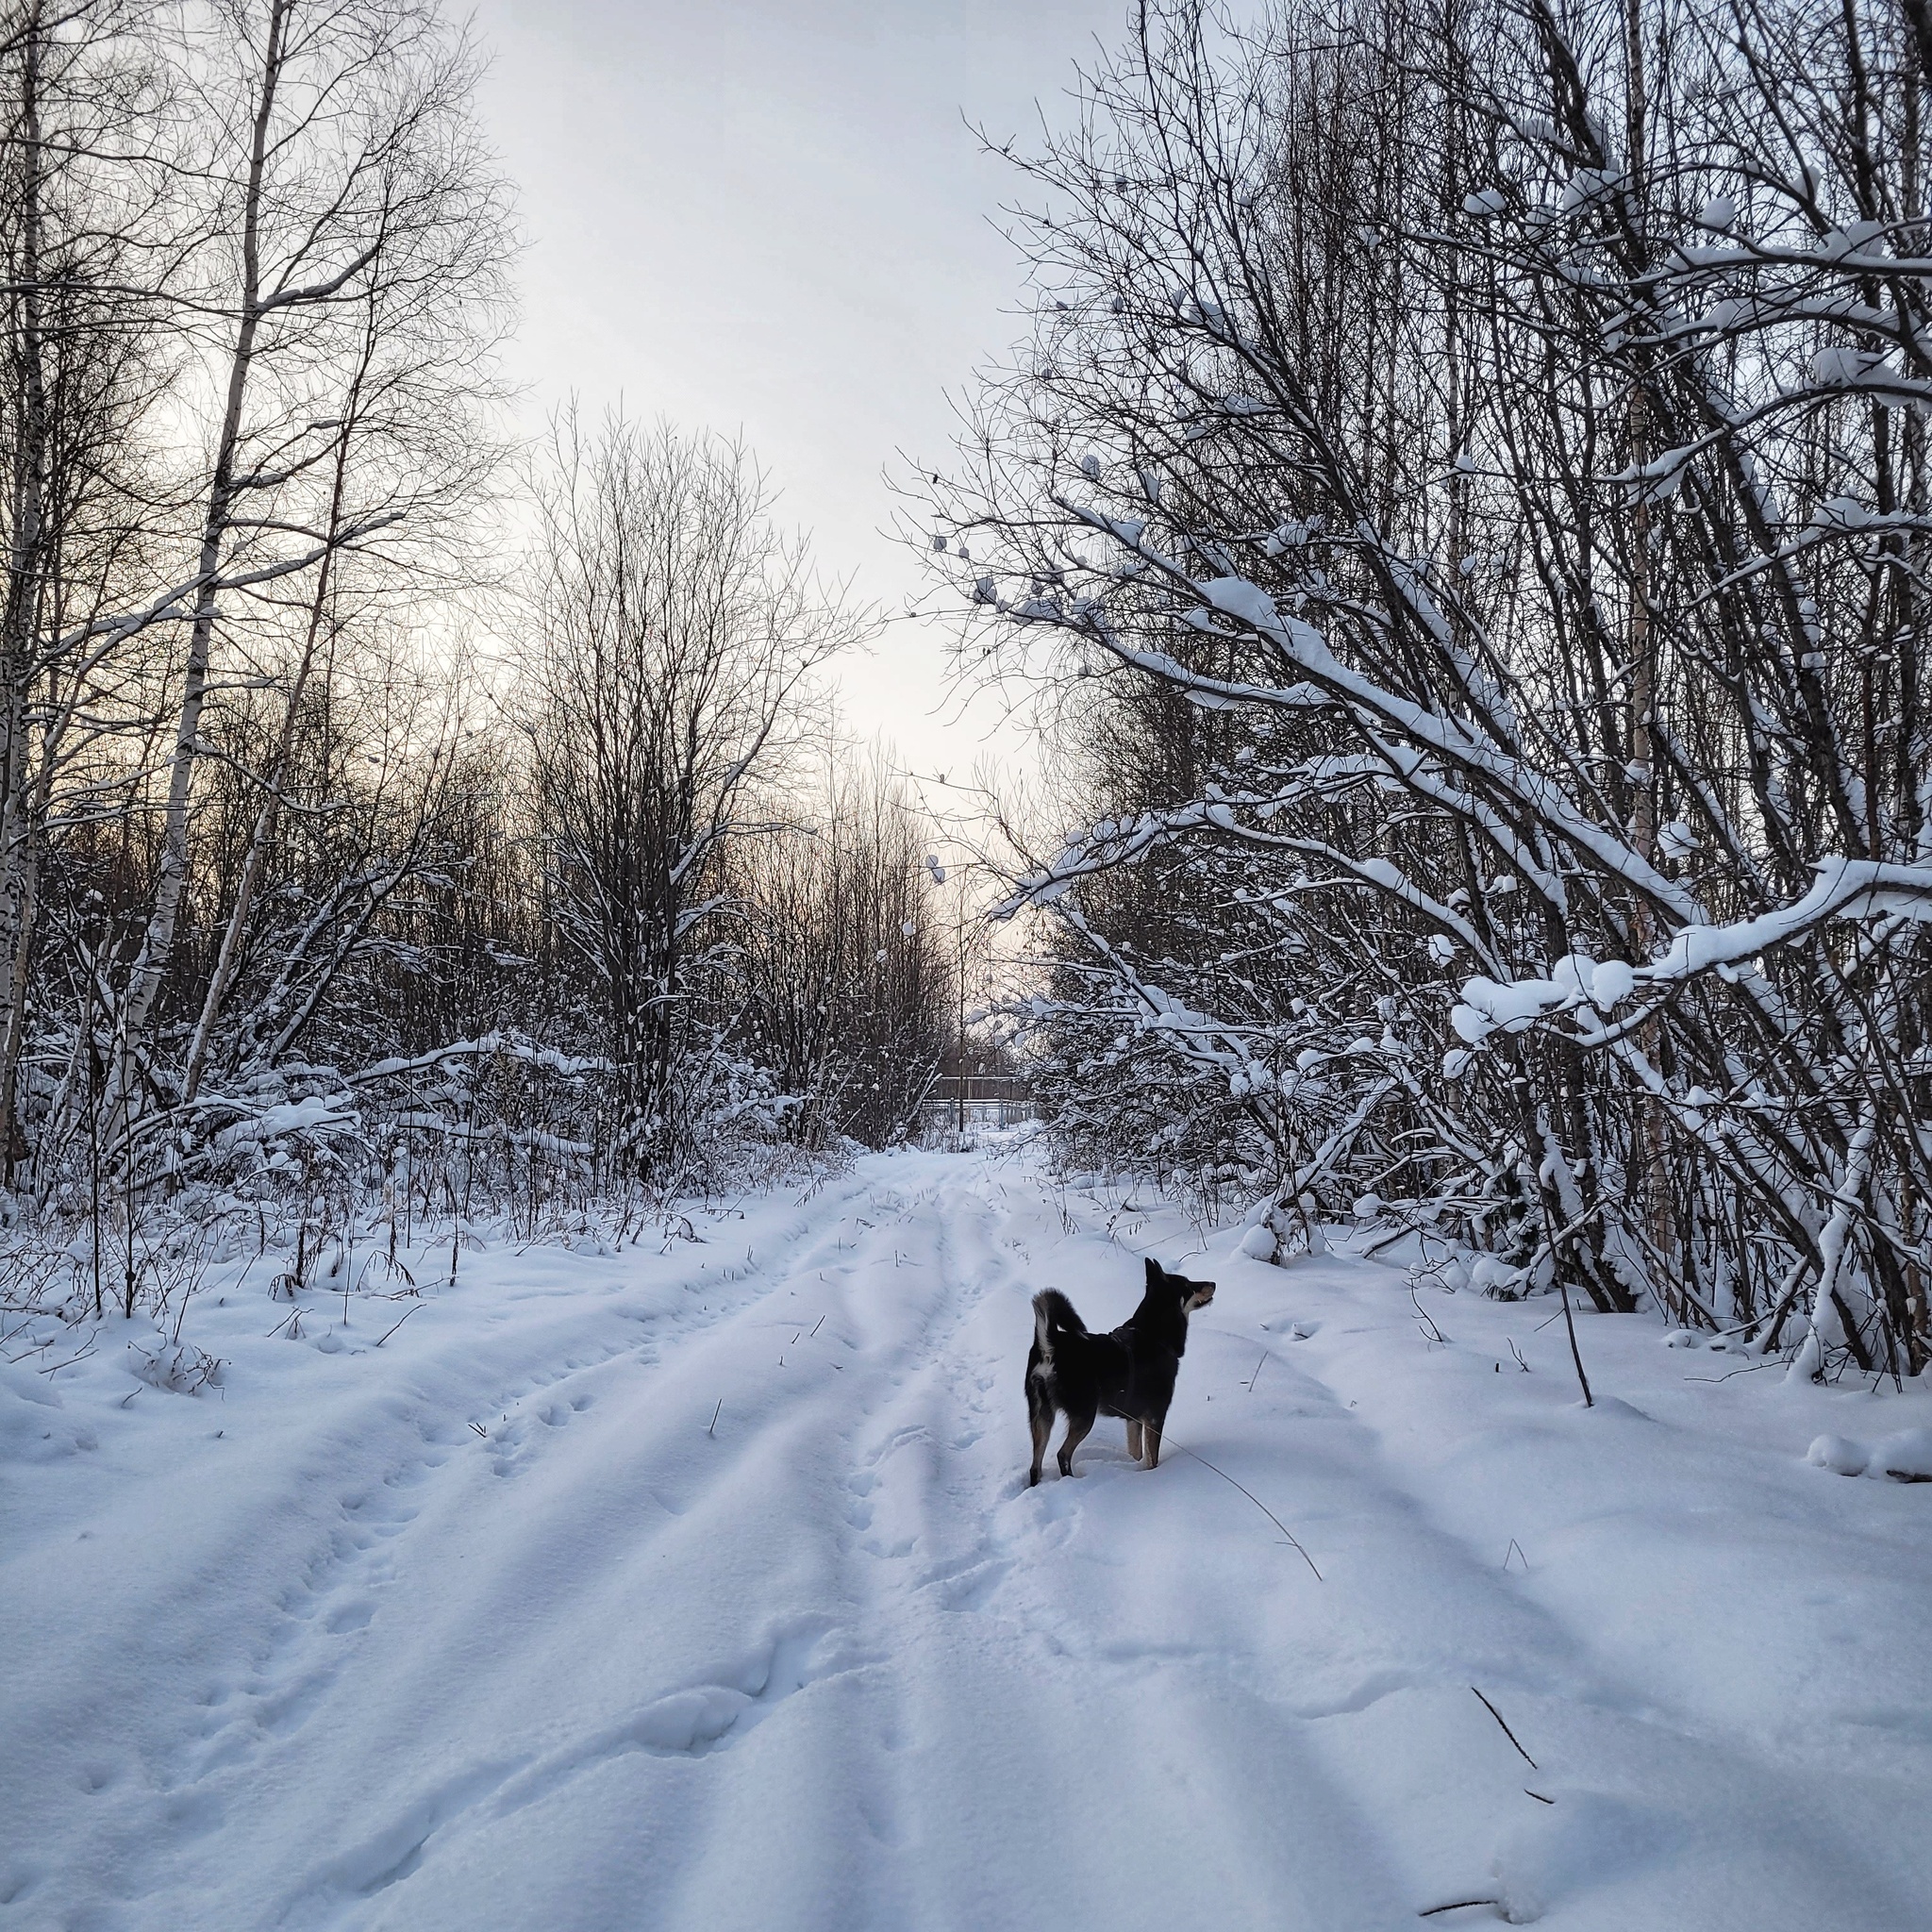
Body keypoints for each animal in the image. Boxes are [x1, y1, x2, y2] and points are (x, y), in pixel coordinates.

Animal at [1027, 1259, 1205, 1483]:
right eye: (1189, 1286)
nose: (1213, 1284)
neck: (1155, 1336)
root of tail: (1050, 1345)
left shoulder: (1134, 1419)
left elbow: (1137, 1452)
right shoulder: (1156, 1416)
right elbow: (1152, 1458)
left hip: (1041, 1416)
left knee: (1035, 1466)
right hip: (1084, 1414)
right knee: (1063, 1454)